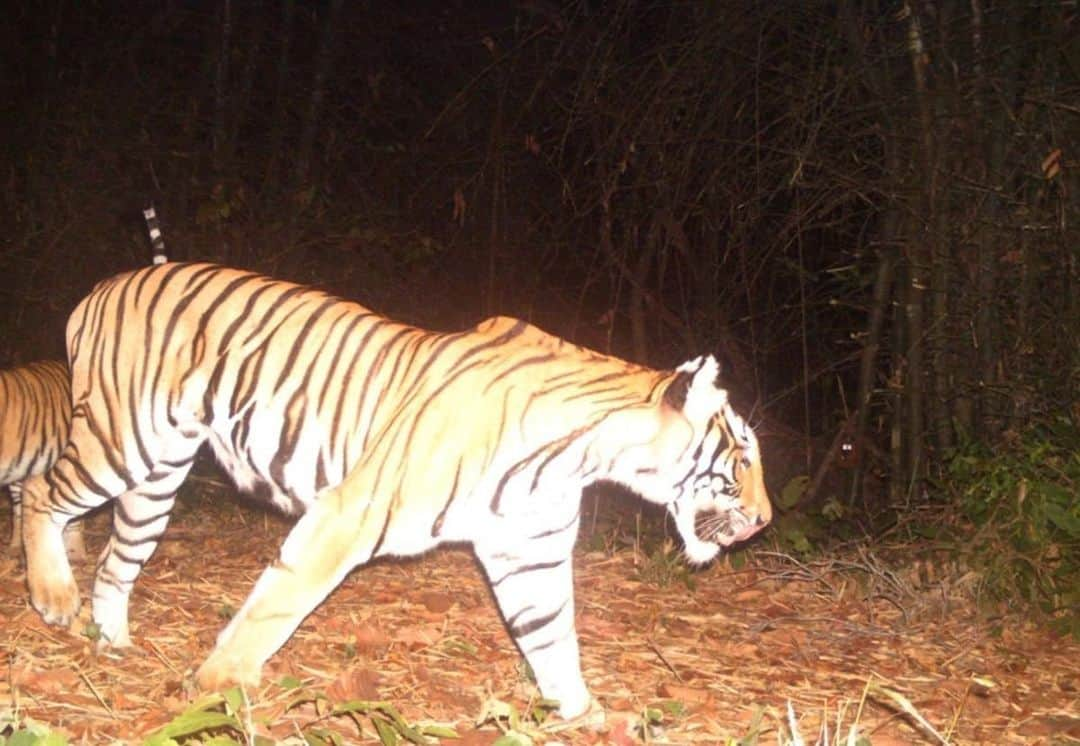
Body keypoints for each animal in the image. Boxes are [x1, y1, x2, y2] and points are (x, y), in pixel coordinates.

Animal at [21, 261, 773, 716]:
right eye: (741, 456)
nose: (767, 519)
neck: (584, 456)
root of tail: (99, 289)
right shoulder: (346, 513)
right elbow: (277, 606)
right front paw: (221, 686)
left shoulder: (528, 553)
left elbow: (553, 640)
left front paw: (583, 715)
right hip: (122, 441)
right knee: (36, 491)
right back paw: (53, 598)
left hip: (156, 477)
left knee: (116, 561)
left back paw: (111, 641)